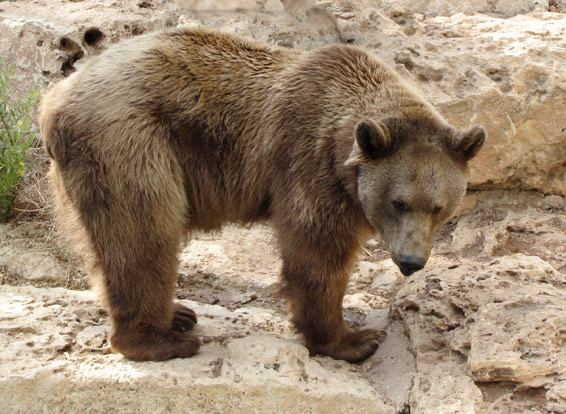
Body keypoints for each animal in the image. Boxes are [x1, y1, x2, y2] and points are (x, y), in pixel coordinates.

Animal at [38, 25, 488, 362]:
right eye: (398, 202)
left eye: (439, 208)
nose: (411, 262)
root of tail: (53, 101)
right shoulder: (308, 162)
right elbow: (317, 253)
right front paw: (353, 339)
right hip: (131, 142)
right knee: (143, 235)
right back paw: (162, 338)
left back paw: (176, 315)